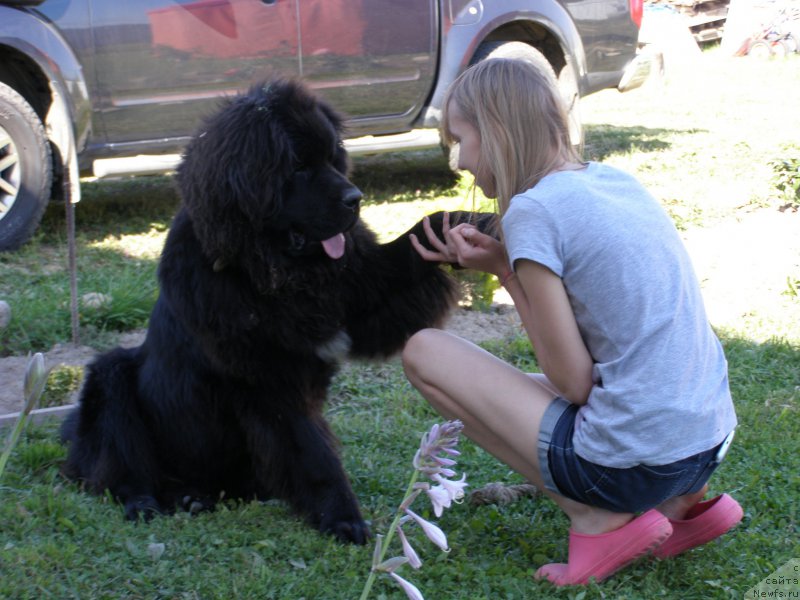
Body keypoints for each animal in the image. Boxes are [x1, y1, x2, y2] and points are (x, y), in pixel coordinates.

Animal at [59, 78, 490, 544]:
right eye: (298, 168)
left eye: (332, 156)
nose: (355, 198)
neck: (272, 272)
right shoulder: (268, 379)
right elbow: (312, 450)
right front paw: (343, 518)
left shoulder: (361, 293)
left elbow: (414, 241)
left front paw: (472, 226)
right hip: (110, 381)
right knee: (120, 464)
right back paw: (149, 502)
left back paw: (195, 498)